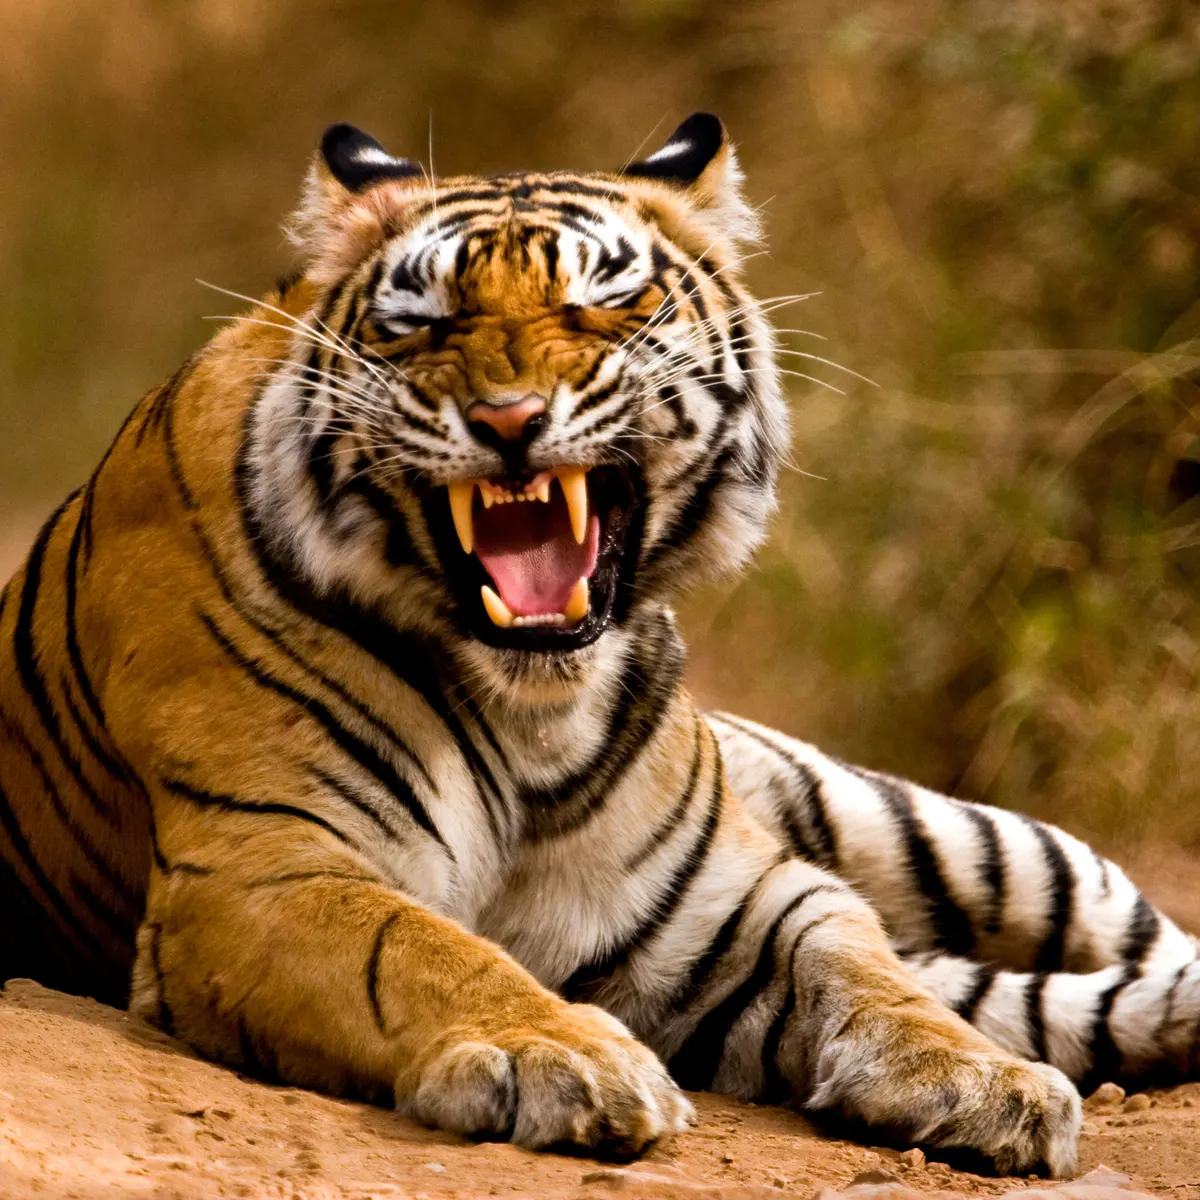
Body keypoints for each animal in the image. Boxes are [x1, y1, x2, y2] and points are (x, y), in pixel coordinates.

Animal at [2, 112, 1198, 1179]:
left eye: (605, 303)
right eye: (422, 322)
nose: (509, 419)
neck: (531, 710)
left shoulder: (736, 903)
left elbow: (867, 969)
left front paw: (977, 1080)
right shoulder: (263, 865)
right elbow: (420, 950)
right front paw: (562, 1056)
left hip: (964, 840)